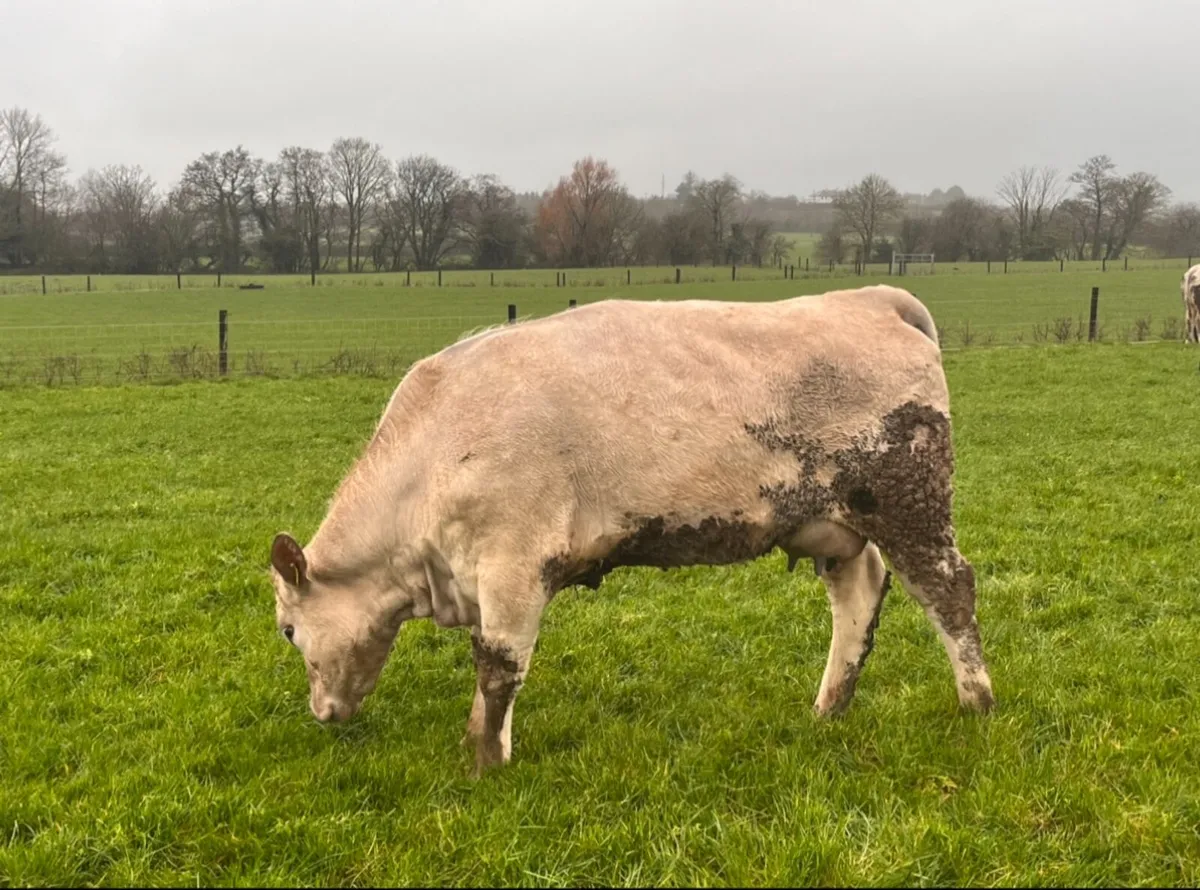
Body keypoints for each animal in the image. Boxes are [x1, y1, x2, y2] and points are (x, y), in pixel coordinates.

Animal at [268, 285, 995, 776]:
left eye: (287, 629)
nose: (321, 714)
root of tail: (870, 298)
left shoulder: (513, 563)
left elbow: (499, 666)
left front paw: (484, 763)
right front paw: (482, 748)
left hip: (908, 501)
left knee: (949, 590)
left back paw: (976, 702)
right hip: (829, 522)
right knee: (860, 594)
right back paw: (829, 707)